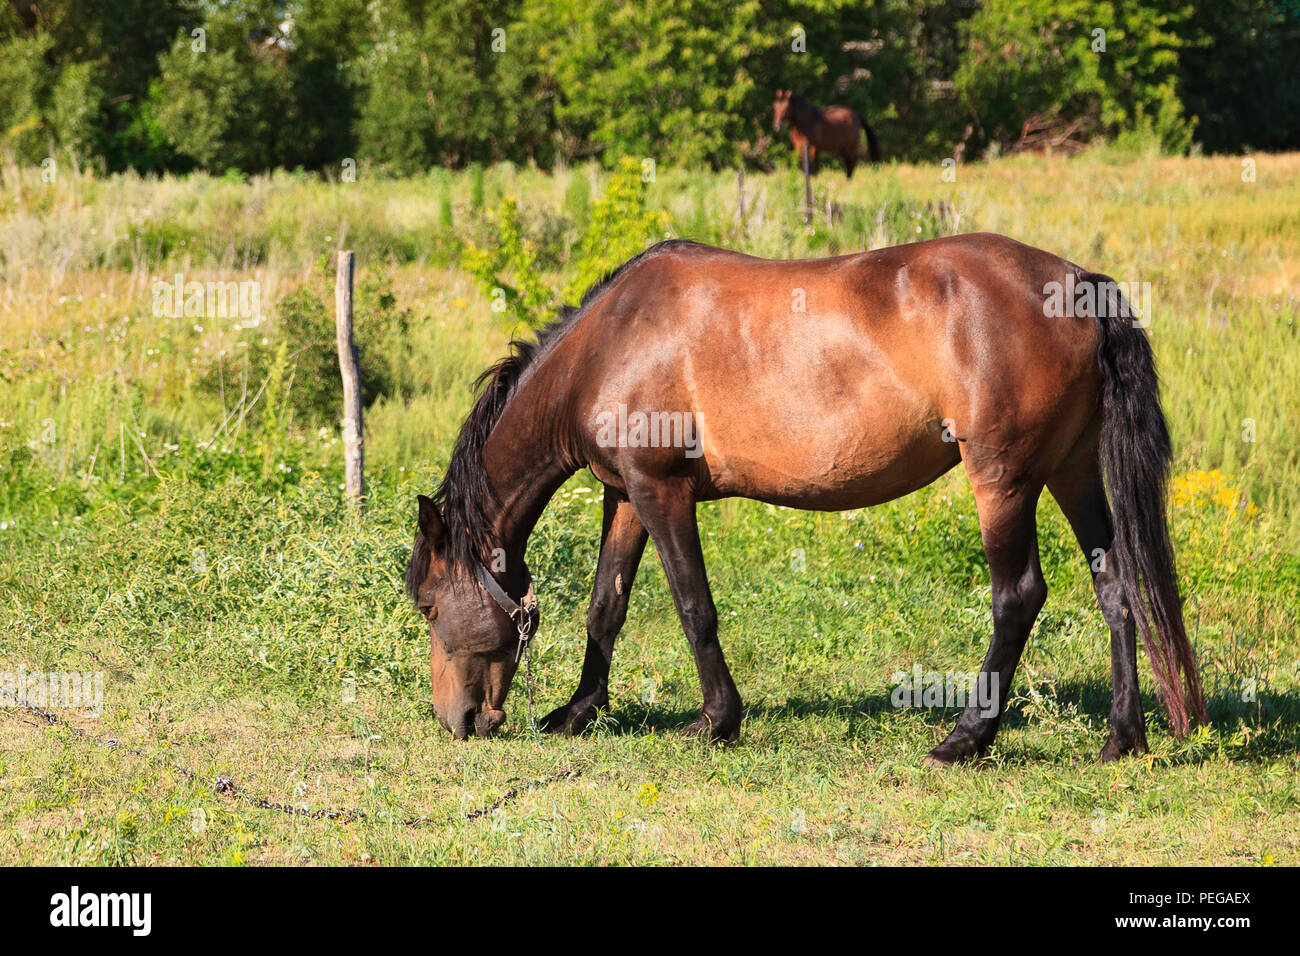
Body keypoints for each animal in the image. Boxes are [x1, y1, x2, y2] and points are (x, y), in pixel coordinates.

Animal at [405, 235, 1206, 764]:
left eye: (427, 605)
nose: (459, 720)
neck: (611, 344)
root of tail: (1078, 284)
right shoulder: (625, 495)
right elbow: (608, 605)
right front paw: (577, 712)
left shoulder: (662, 492)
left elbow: (693, 606)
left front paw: (717, 722)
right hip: (1072, 470)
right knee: (1116, 586)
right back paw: (1122, 736)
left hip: (1003, 480)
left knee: (1019, 596)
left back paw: (965, 738)